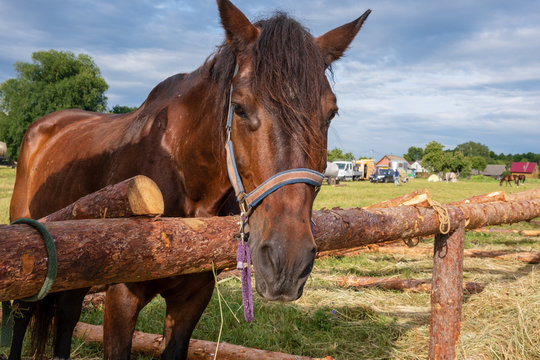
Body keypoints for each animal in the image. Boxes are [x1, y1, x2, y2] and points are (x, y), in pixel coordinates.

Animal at [5, 1, 372, 358]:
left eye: (331, 113)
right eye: (239, 107)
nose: (287, 262)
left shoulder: (193, 297)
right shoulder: (121, 296)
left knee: (66, 318)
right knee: (23, 316)